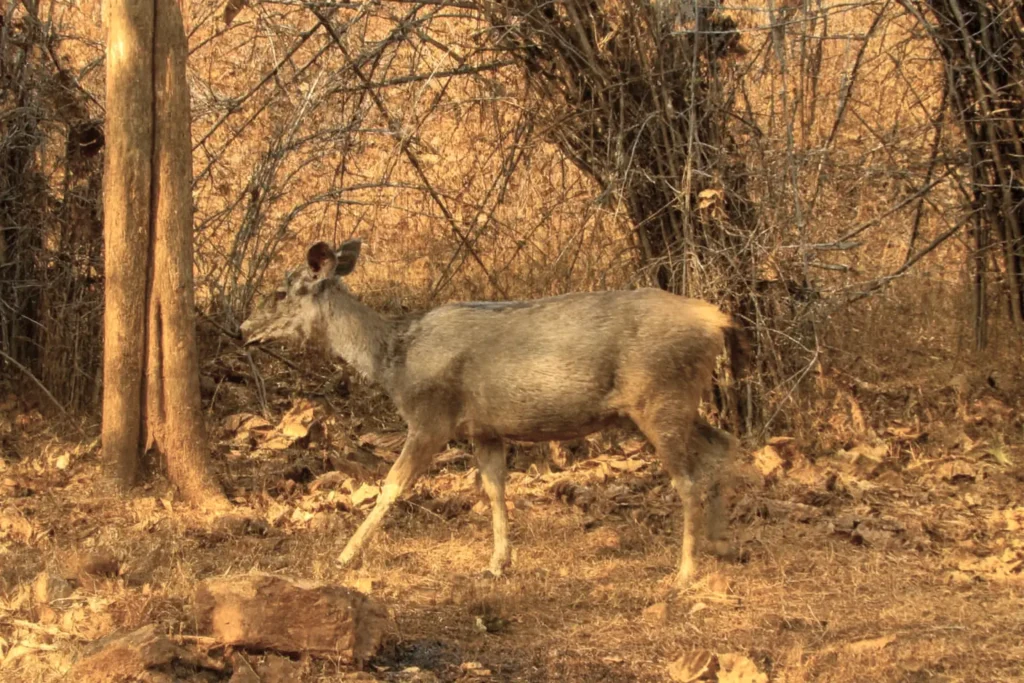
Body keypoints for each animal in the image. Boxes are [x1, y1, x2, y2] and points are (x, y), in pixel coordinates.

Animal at [240, 239, 747, 588]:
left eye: (282, 291)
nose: (244, 328)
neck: (394, 362)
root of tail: (717, 322)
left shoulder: (431, 417)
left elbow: (391, 486)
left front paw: (345, 556)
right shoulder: (484, 429)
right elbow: (495, 490)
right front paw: (498, 563)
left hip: (660, 396)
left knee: (687, 479)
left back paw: (685, 571)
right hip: (679, 400)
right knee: (724, 443)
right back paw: (722, 544)